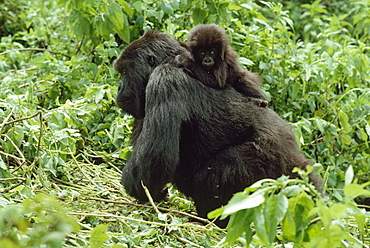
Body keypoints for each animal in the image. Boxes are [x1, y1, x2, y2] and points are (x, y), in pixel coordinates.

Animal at [113, 30, 320, 228]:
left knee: (217, 171)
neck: (168, 60)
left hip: (269, 161)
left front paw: (138, 189)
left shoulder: (163, 80)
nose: (119, 87)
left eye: (124, 71)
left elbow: (157, 155)